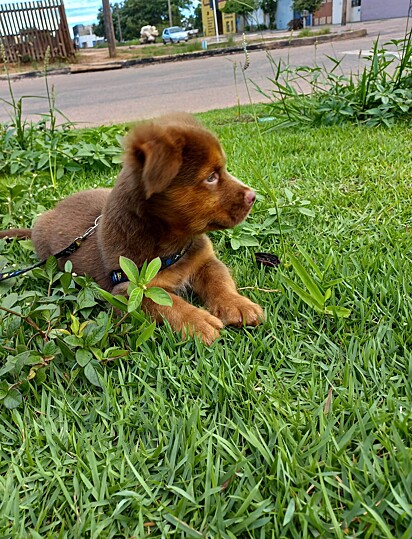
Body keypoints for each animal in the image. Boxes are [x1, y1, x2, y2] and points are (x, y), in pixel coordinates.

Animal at [0, 114, 264, 344]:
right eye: (211, 177)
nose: (253, 196)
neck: (173, 242)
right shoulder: (129, 289)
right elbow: (167, 303)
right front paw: (198, 321)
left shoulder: (206, 261)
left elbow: (220, 281)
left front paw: (238, 304)